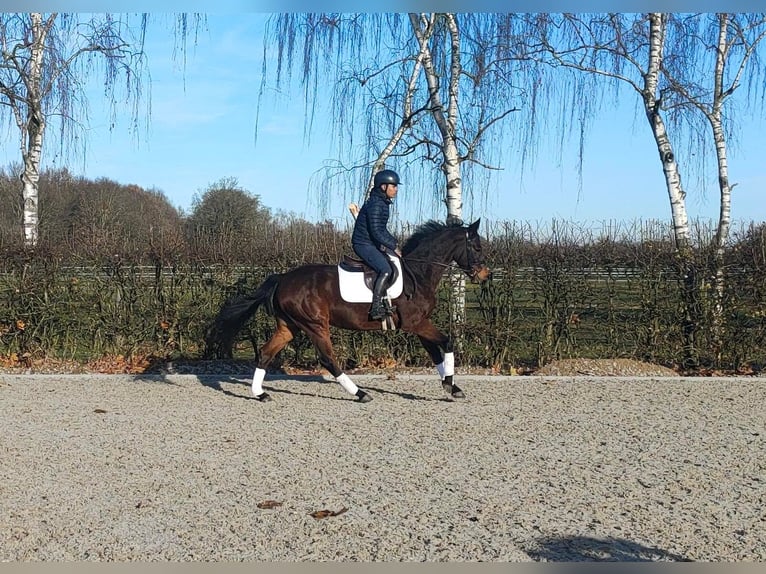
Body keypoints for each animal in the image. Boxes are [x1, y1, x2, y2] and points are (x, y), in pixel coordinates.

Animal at [204, 218, 492, 402]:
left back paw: (260, 394)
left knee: (265, 353)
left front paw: (450, 385)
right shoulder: (416, 324)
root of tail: (283, 278)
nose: (485, 275)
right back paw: (360, 394)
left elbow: (435, 354)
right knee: (328, 359)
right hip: (315, 325)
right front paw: (451, 385)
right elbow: (448, 343)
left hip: (290, 326)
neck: (418, 273)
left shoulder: (419, 324)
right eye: (477, 246)